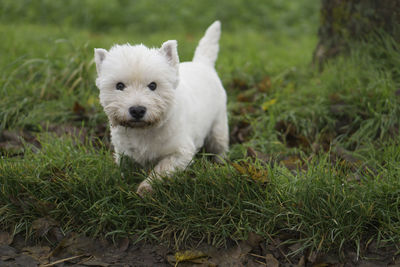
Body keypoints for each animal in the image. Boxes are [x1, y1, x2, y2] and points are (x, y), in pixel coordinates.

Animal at [93, 21, 228, 196]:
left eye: (153, 85)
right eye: (119, 86)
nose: (137, 110)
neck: (143, 131)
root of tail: (202, 63)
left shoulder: (180, 152)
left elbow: (161, 169)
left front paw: (145, 188)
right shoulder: (124, 152)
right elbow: (126, 169)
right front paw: (123, 182)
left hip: (219, 124)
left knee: (219, 146)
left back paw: (219, 164)